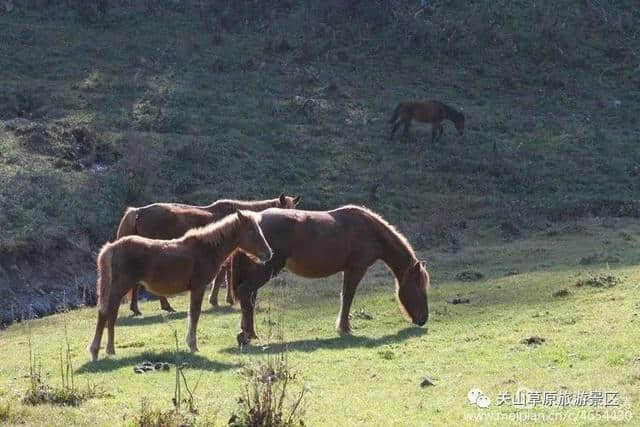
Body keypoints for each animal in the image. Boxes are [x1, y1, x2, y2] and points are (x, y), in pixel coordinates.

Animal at [87, 211, 272, 362]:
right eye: (251, 231)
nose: (269, 253)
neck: (206, 249)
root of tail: (112, 247)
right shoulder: (198, 287)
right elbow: (194, 314)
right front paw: (193, 346)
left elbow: (193, 314)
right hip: (120, 287)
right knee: (106, 313)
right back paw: (96, 352)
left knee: (111, 315)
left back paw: (110, 350)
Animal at [225, 206, 430, 346]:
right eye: (419, 288)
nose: (424, 319)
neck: (369, 230)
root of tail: (254, 219)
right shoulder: (356, 269)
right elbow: (348, 297)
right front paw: (345, 327)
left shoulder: (349, 270)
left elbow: (345, 296)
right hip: (267, 270)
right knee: (246, 292)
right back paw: (248, 335)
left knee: (249, 298)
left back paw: (247, 332)